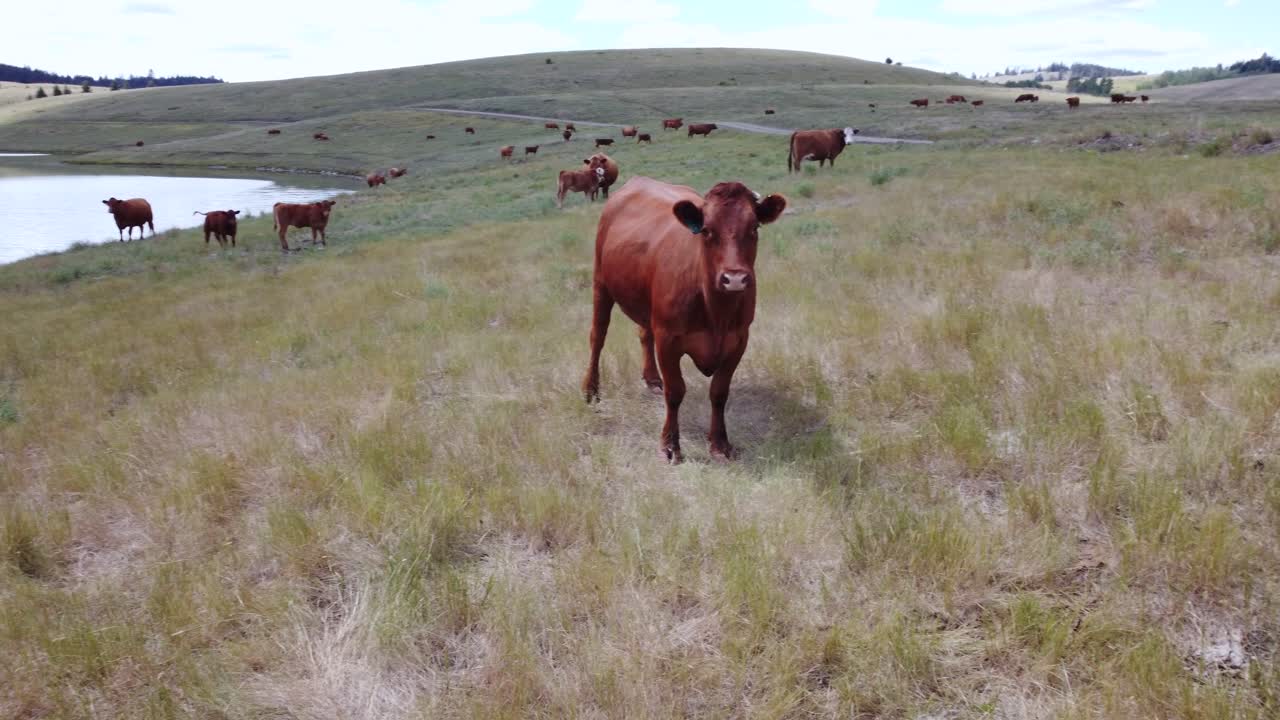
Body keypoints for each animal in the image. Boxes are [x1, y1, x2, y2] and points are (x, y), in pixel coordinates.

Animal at [581, 178, 788, 463]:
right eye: (707, 230)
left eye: (754, 227)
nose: (734, 278)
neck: (716, 312)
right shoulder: (668, 340)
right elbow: (676, 391)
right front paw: (670, 445)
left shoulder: (739, 340)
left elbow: (719, 392)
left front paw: (720, 443)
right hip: (601, 283)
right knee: (597, 337)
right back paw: (591, 389)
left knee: (643, 333)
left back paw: (652, 379)